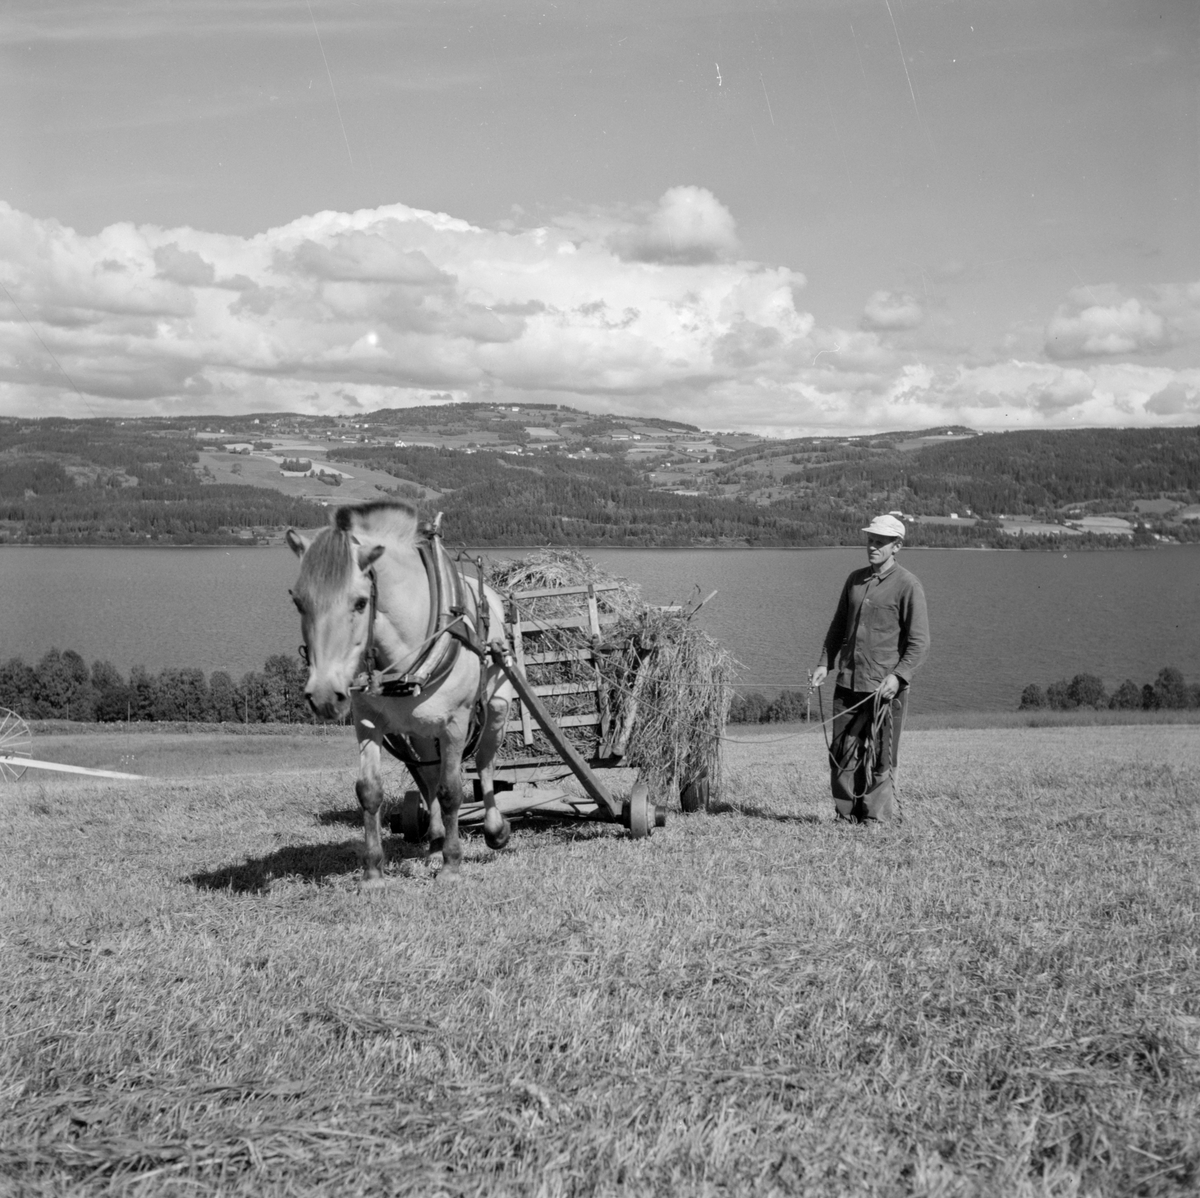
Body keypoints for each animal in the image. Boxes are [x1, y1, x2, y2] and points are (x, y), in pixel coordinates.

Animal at [291, 501, 520, 888]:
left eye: (360, 602)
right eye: (298, 602)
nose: (323, 695)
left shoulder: (456, 722)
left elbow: (453, 790)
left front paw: (452, 866)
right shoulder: (367, 722)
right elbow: (370, 791)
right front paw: (373, 871)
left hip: (497, 706)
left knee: (485, 763)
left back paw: (494, 829)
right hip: (421, 730)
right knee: (429, 778)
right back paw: (436, 842)